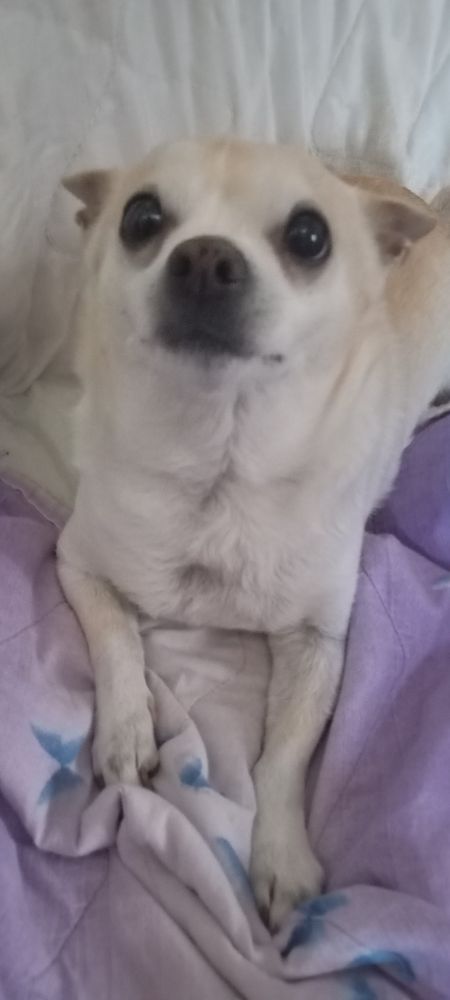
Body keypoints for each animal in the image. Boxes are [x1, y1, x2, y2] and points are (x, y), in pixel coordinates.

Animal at [57, 138, 450, 931]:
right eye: (142, 219)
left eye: (309, 237)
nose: (206, 257)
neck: (220, 469)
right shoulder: (78, 564)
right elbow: (117, 641)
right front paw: (127, 730)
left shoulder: (317, 643)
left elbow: (283, 758)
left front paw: (280, 857)